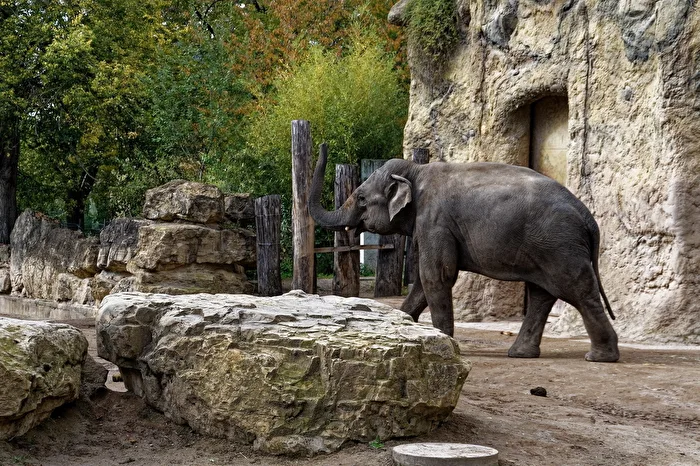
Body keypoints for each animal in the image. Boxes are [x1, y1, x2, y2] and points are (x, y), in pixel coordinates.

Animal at [308, 151, 620, 362]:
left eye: (361, 198)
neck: (416, 171)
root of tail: (588, 218)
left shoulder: (435, 220)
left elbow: (436, 275)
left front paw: (444, 343)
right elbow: (424, 282)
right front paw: (404, 326)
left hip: (559, 245)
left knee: (577, 290)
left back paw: (600, 357)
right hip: (546, 246)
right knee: (542, 294)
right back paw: (520, 354)